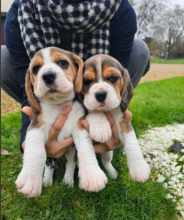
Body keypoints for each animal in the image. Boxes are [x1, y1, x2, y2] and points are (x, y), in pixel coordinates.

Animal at [15, 46, 110, 198]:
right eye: (35, 68)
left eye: (63, 63)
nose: (48, 76)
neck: (58, 105)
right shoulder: (36, 127)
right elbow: (36, 152)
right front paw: (30, 179)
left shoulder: (79, 128)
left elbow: (85, 149)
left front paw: (91, 175)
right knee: (49, 163)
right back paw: (47, 179)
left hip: (70, 150)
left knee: (70, 163)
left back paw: (68, 180)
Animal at [81, 54, 150, 182]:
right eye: (86, 81)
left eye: (113, 78)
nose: (100, 94)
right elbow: (95, 111)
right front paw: (100, 129)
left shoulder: (123, 120)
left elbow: (132, 142)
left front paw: (139, 167)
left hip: (108, 152)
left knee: (105, 162)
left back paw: (113, 173)